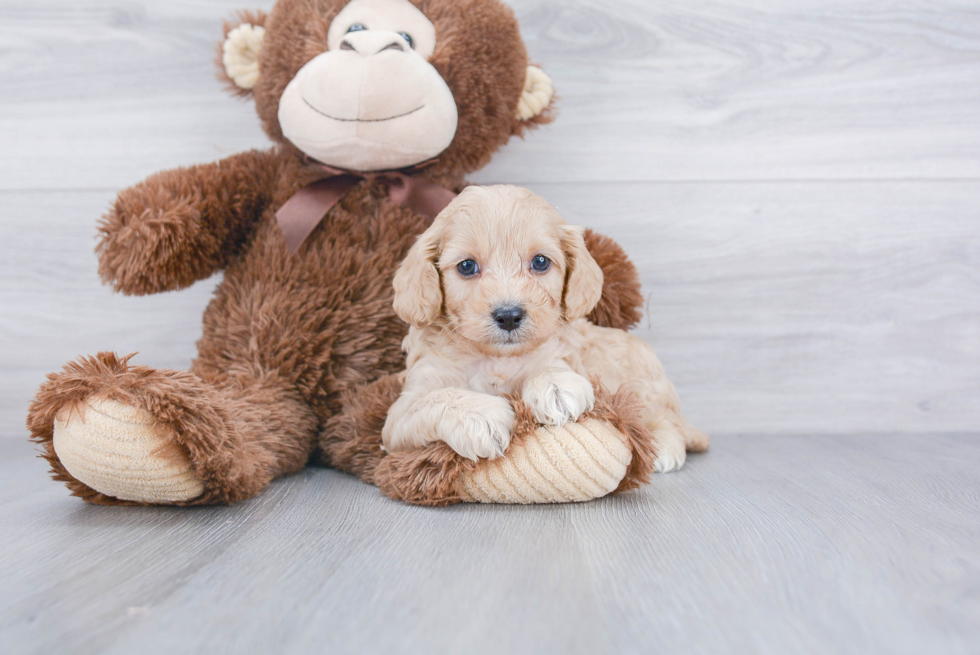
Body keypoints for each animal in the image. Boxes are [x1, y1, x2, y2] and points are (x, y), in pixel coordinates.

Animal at [378, 184, 708, 472]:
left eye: (540, 262)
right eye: (467, 266)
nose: (509, 315)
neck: (496, 359)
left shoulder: (562, 355)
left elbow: (551, 366)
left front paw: (557, 386)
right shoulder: (399, 416)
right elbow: (436, 399)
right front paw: (482, 416)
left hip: (643, 387)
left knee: (664, 420)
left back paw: (664, 449)